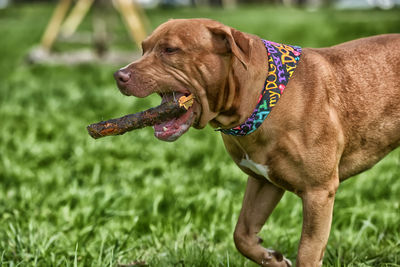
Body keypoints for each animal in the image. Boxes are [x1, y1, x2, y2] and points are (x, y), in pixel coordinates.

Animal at [112, 18, 400, 266]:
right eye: (143, 48)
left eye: (170, 50)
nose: (119, 75)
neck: (260, 97)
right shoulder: (263, 181)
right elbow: (241, 234)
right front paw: (272, 258)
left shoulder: (319, 192)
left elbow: (307, 252)